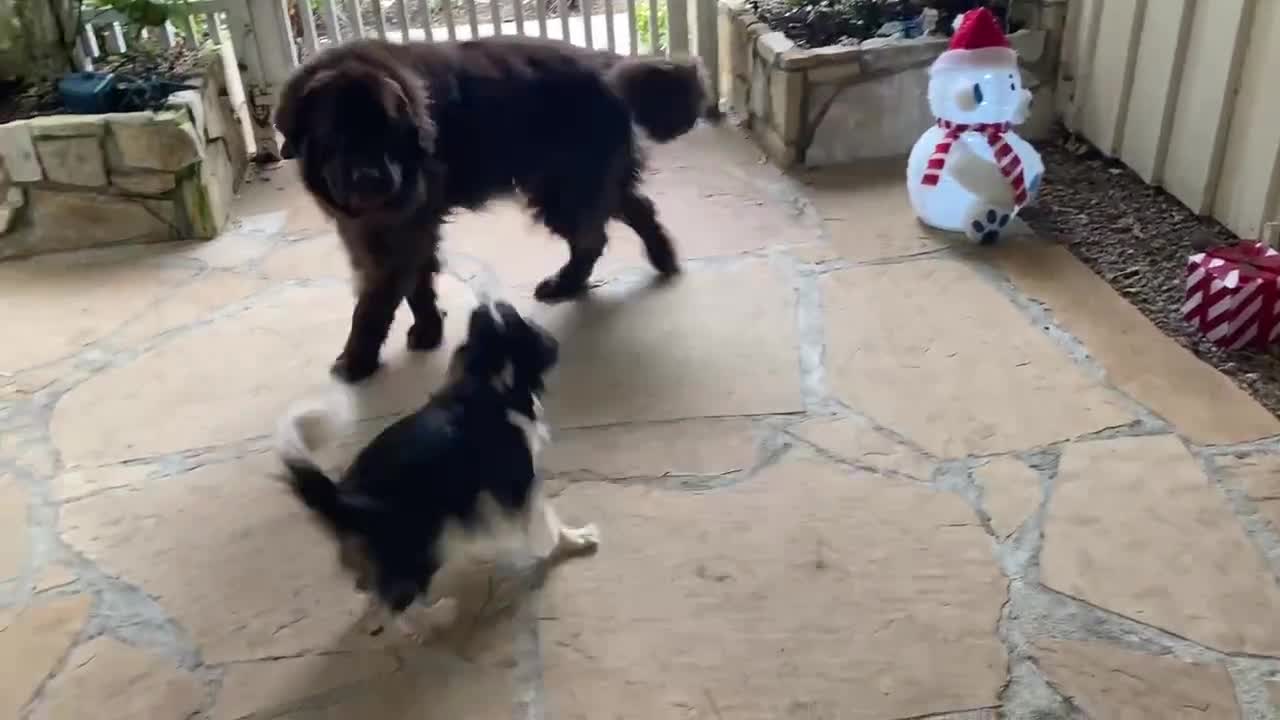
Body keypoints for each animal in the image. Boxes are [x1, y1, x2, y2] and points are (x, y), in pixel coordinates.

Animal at [273, 37, 716, 381]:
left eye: (387, 133)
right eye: (336, 134)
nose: (370, 179)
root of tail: (607, 63)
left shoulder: (396, 231)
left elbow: (375, 303)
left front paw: (356, 360)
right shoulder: (395, 228)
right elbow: (418, 282)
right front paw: (428, 330)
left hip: (563, 187)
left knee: (593, 235)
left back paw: (569, 283)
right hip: (576, 182)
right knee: (633, 209)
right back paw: (661, 259)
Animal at [277, 299, 596, 635]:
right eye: (519, 320)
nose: (489, 302)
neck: (486, 376)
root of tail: (342, 496)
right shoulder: (520, 484)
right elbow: (549, 522)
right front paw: (575, 540)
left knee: (379, 590)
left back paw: (376, 615)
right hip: (423, 539)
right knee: (400, 603)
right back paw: (438, 616)